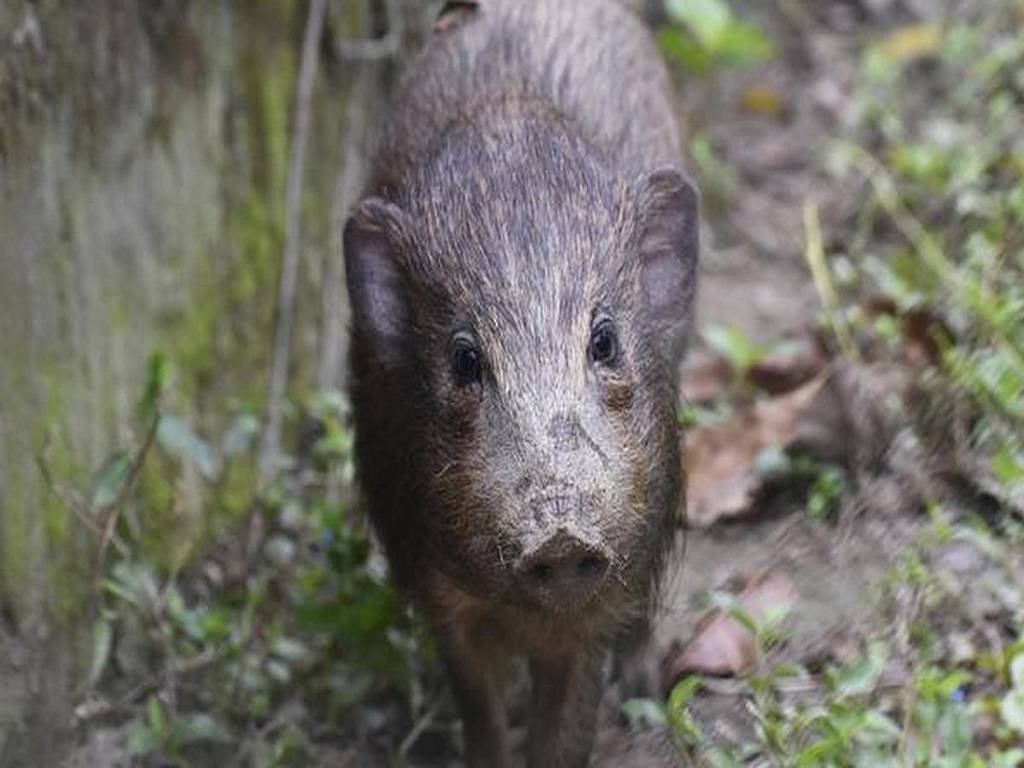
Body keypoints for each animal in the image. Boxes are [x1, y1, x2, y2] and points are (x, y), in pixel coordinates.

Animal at [344, 0, 696, 765]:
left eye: (604, 340)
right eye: (465, 359)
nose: (561, 535)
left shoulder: (608, 586)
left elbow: (566, 725)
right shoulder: (434, 588)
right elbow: (479, 708)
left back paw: (645, 694)